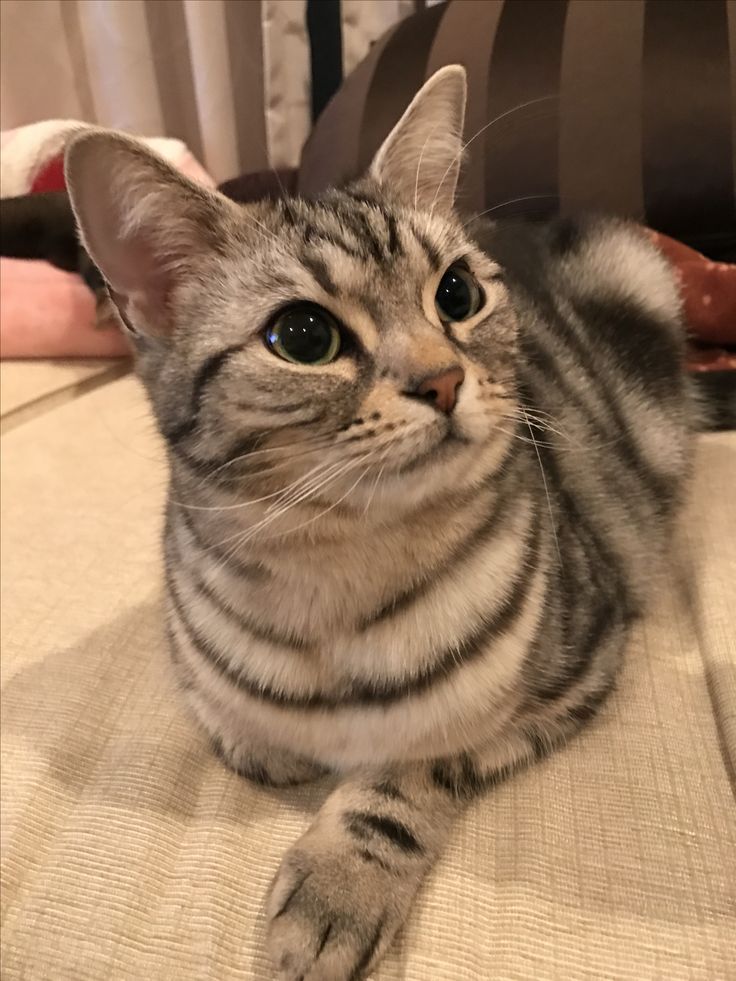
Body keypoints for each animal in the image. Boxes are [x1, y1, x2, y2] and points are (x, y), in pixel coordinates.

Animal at [64, 67, 696, 980]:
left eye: (457, 294)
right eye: (303, 335)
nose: (443, 380)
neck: (335, 573)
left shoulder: (573, 671)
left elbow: (410, 772)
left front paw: (338, 886)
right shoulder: (201, 677)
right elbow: (231, 724)